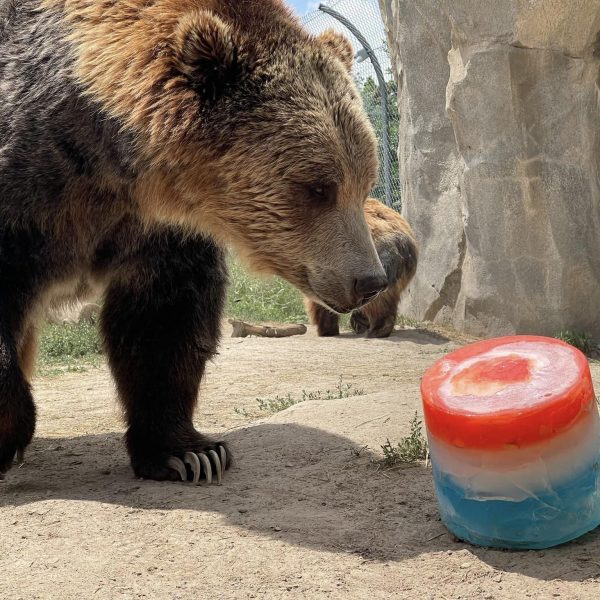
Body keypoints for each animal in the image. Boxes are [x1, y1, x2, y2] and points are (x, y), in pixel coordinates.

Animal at [0, 0, 386, 482]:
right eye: (318, 188)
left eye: (364, 182)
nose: (370, 279)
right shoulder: (32, 192)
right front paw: (10, 432)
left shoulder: (156, 231)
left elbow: (165, 321)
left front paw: (189, 453)